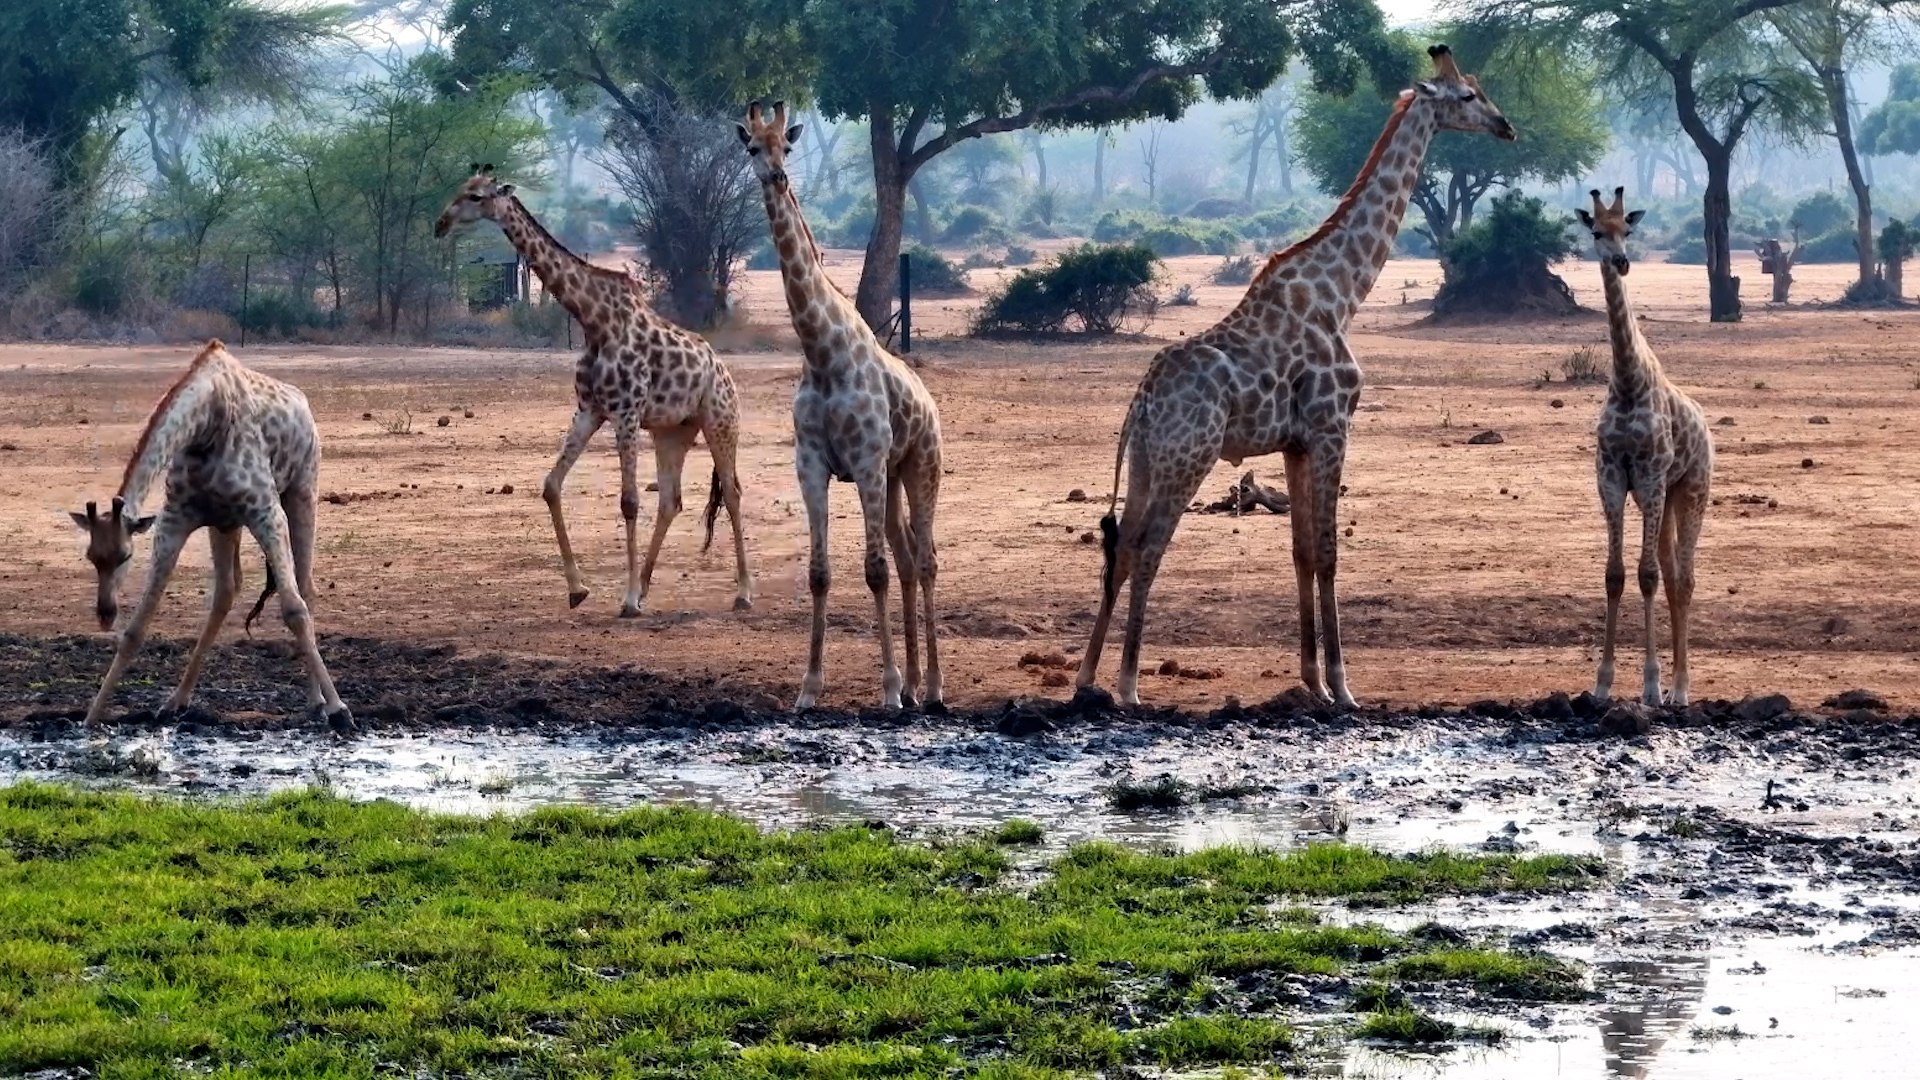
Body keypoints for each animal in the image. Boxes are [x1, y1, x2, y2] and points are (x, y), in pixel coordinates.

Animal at [68, 340, 350, 726]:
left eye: (126, 556)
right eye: (91, 557)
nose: (104, 613)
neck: (206, 425)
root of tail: (303, 403)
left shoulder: (266, 512)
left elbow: (294, 609)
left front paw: (340, 710)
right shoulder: (174, 519)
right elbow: (136, 628)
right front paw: (92, 716)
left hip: (302, 491)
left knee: (305, 589)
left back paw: (316, 701)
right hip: (225, 523)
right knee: (226, 591)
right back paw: (177, 700)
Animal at [435, 166, 753, 617]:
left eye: (477, 196)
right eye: (462, 189)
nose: (440, 224)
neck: (594, 320)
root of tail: (723, 372)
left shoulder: (625, 412)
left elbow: (629, 501)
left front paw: (628, 599)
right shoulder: (590, 409)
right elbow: (551, 486)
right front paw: (578, 589)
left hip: (721, 422)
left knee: (732, 492)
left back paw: (742, 593)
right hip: (673, 429)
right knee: (671, 499)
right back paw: (649, 584)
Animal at [735, 101, 943, 711]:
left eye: (788, 145)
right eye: (752, 147)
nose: (777, 176)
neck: (821, 353)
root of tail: (931, 406)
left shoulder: (867, 463)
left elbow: (873, 571)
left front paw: (889, 689)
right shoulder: (813, 465)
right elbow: (820, 573)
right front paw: (809, 688)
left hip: (921, 466)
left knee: (925, 560)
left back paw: (932, 686)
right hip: (894, 476)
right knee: (906, 558)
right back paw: (919, 684)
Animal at [1077, 45, 1516, 708]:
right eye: (1468, 95)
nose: (1506, 126)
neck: (1342, 293)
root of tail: (1142, 403)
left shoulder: (1295, 443)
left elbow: (1302, 552)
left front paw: (1311, 682)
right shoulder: (1334, 428)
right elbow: (1330, 553)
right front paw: (1343, 687)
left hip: (1148, 462)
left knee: (1122, 548)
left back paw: (1085, 680)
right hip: (1189, 458)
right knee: (1150, 548)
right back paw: (1128, 686)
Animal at [1576, 187, 1712, 706]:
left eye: (1628, 230)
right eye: (1597, 231)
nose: (1622, 261)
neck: (1629, 383)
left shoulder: (1651, 478)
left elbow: (1647, 575)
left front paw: (1651, 685)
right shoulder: (1612, 479)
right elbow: (1615, 575)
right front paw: (1602, 683)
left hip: (1692, 489)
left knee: (1684, 577)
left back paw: (1680, 689)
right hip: (1669, 496)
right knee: (1675, 575)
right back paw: (1676, 686)